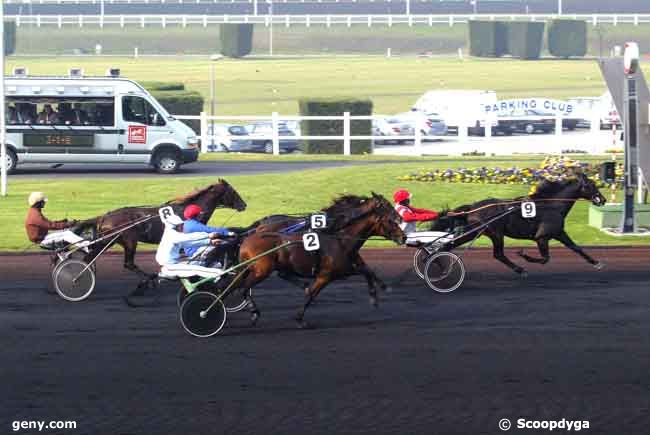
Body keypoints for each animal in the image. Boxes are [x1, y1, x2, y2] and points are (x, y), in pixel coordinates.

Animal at [76, 180, 247, 280]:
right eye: (233, 191)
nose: (244, 205)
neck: (190, 211)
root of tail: (105, 216)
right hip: (129, 240)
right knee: (128, 264)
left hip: (108, 241)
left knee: (90, 258)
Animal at [235, 192, 402, 328]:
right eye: (387, 206)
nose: (403, 235)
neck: (340, 237)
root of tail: (256, 230)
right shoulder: (327, 274)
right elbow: (312, 294)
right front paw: (299, 318)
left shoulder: (348, 266)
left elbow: (368, 270)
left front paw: (378, 292)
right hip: (262, 270)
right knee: (245, 287)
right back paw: (254, 312)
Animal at [430, 173, 608, 278]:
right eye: (591, 185)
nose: (603, 199)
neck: (552, 204)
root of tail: (473, 207)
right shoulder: (542, 237)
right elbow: (545, 258)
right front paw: (523, 255)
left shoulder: (558, 232)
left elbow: (576, 247)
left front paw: (596, 263)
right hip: (494, 233)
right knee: (498, 254)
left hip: (476, 232)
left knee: (452, 245)